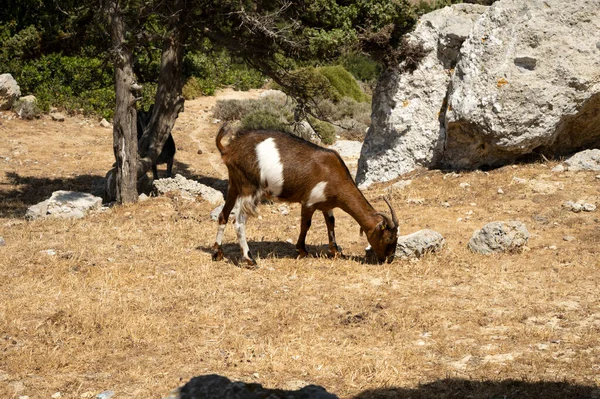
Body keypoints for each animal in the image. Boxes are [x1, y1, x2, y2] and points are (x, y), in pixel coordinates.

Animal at [211, 126, 398, 268]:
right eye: (389, 237)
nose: (389, 259)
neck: (333, 174)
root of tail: (229, 150)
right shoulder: (309, 202)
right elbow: (306, 224)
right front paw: (302, 250)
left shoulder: (326, 205)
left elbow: (331, 223)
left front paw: (336, 251)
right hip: (249, 188)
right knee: (239, 222)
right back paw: (250, 259)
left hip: (234, 185)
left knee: (223, 216)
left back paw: (217, 253)